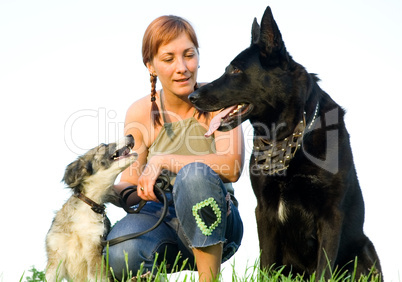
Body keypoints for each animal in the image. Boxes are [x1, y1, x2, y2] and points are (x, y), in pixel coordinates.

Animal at [190, 5, 382, 278]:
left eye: (235, 70)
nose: (192, 96)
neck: (287, 139)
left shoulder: (331, 214)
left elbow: (323, 270)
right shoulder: (264, 211)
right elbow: (265, 265)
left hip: (365, 250)